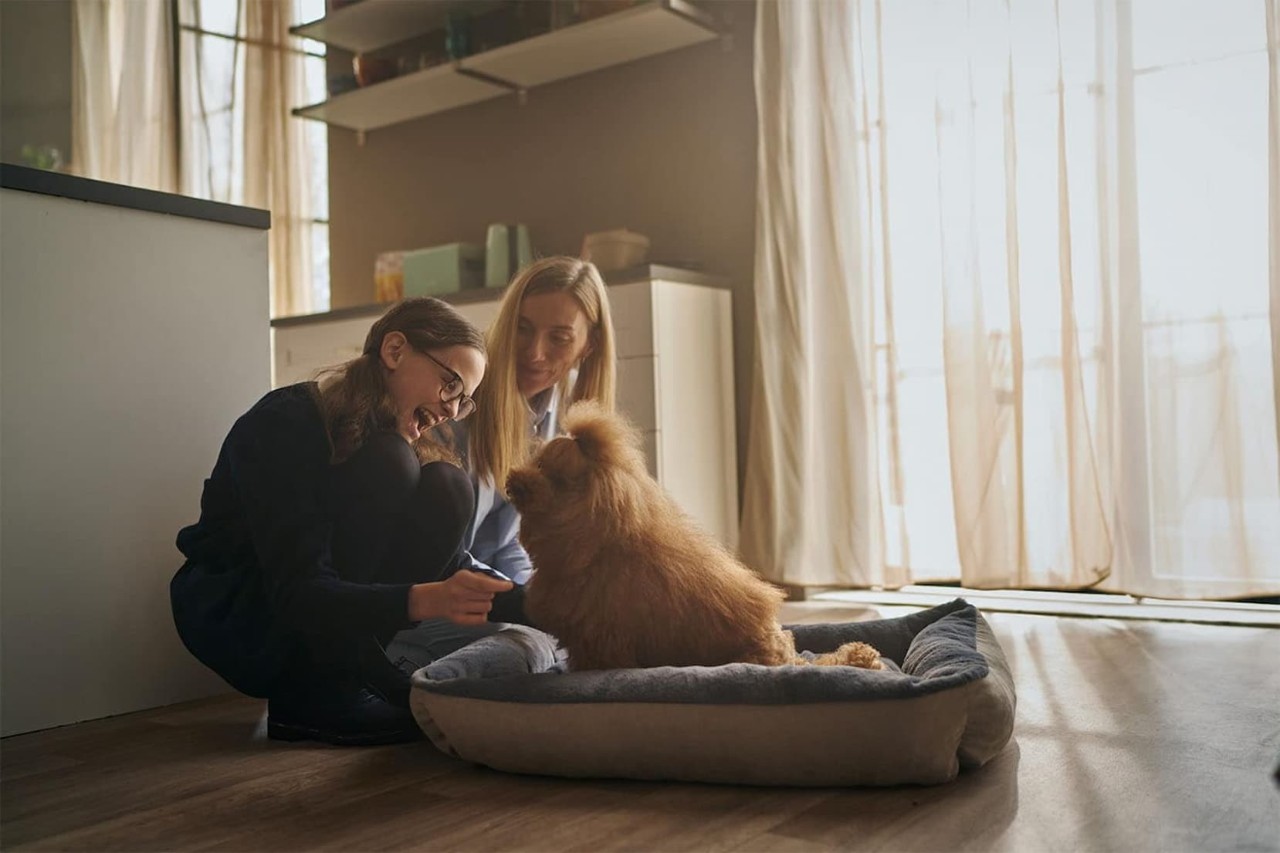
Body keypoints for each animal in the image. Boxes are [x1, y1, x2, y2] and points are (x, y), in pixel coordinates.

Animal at [504, 399, 885, 671]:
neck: (589, 541)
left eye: (554, 476)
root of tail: (785, 653)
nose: (513, 479)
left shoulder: (600, 640)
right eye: (537, 460)